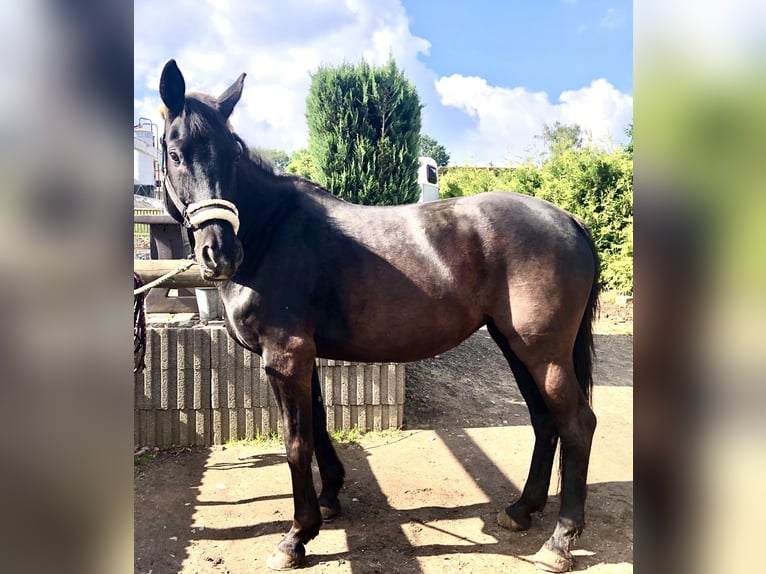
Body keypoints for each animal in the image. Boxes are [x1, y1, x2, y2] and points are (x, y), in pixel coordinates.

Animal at [160, 60, 600, 572]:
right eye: (175, 152)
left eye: (231, 153)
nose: (221, 252)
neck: (273, 231)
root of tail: (569, 221)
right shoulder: (304, 358)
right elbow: (319, 425)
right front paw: (329, 499)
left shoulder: (285, 357)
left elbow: (295, 443)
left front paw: (295, 537)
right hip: (516, 346)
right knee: (545, 421)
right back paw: (521, 510)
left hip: (544, 354)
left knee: (576, 425)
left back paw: (560, 541)